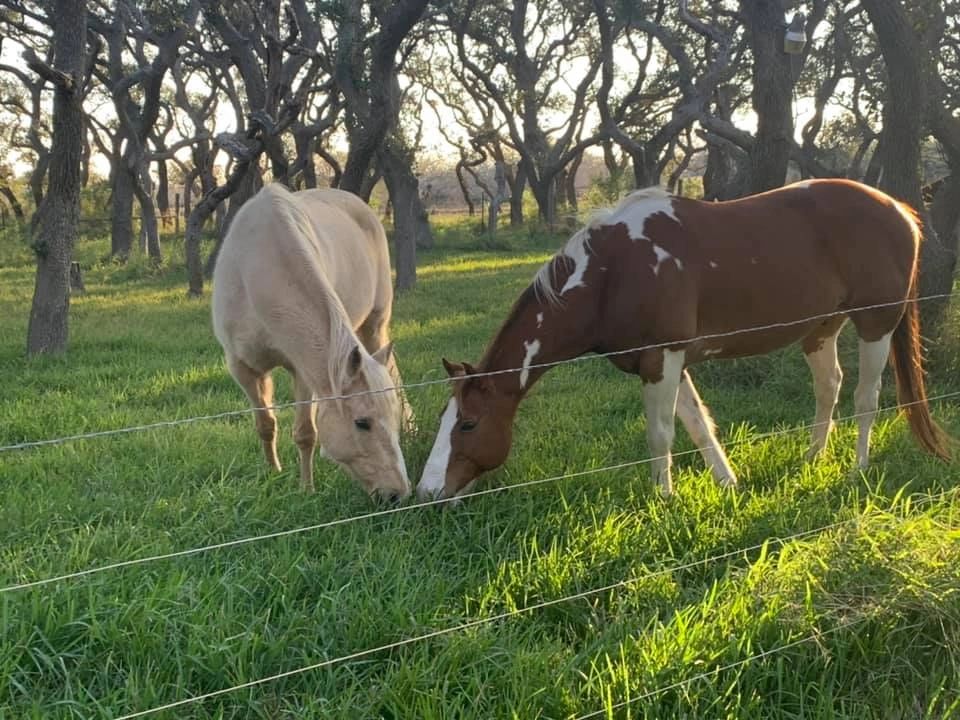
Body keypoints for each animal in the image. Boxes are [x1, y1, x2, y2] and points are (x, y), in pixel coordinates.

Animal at [212, 183, 410, 504]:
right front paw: (274, 473)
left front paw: (306, 489)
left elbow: (305, 433)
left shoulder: (303, 370)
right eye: (362, 423)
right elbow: (265, 424)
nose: (397, 494)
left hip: (375, 325)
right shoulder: (242, 367)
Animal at [420, 179, 952, 500]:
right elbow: (698, 426)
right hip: (821, 329)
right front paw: (729, 483)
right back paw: (812, 458)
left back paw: (858, 468)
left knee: (866, 397)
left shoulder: (663, 357)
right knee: (830, 388)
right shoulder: (667, 363)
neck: (610, 273)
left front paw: (664, 498)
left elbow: (661, 434)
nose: (426, 492)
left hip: (876, 323)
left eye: (467, 423)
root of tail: (900, 210)